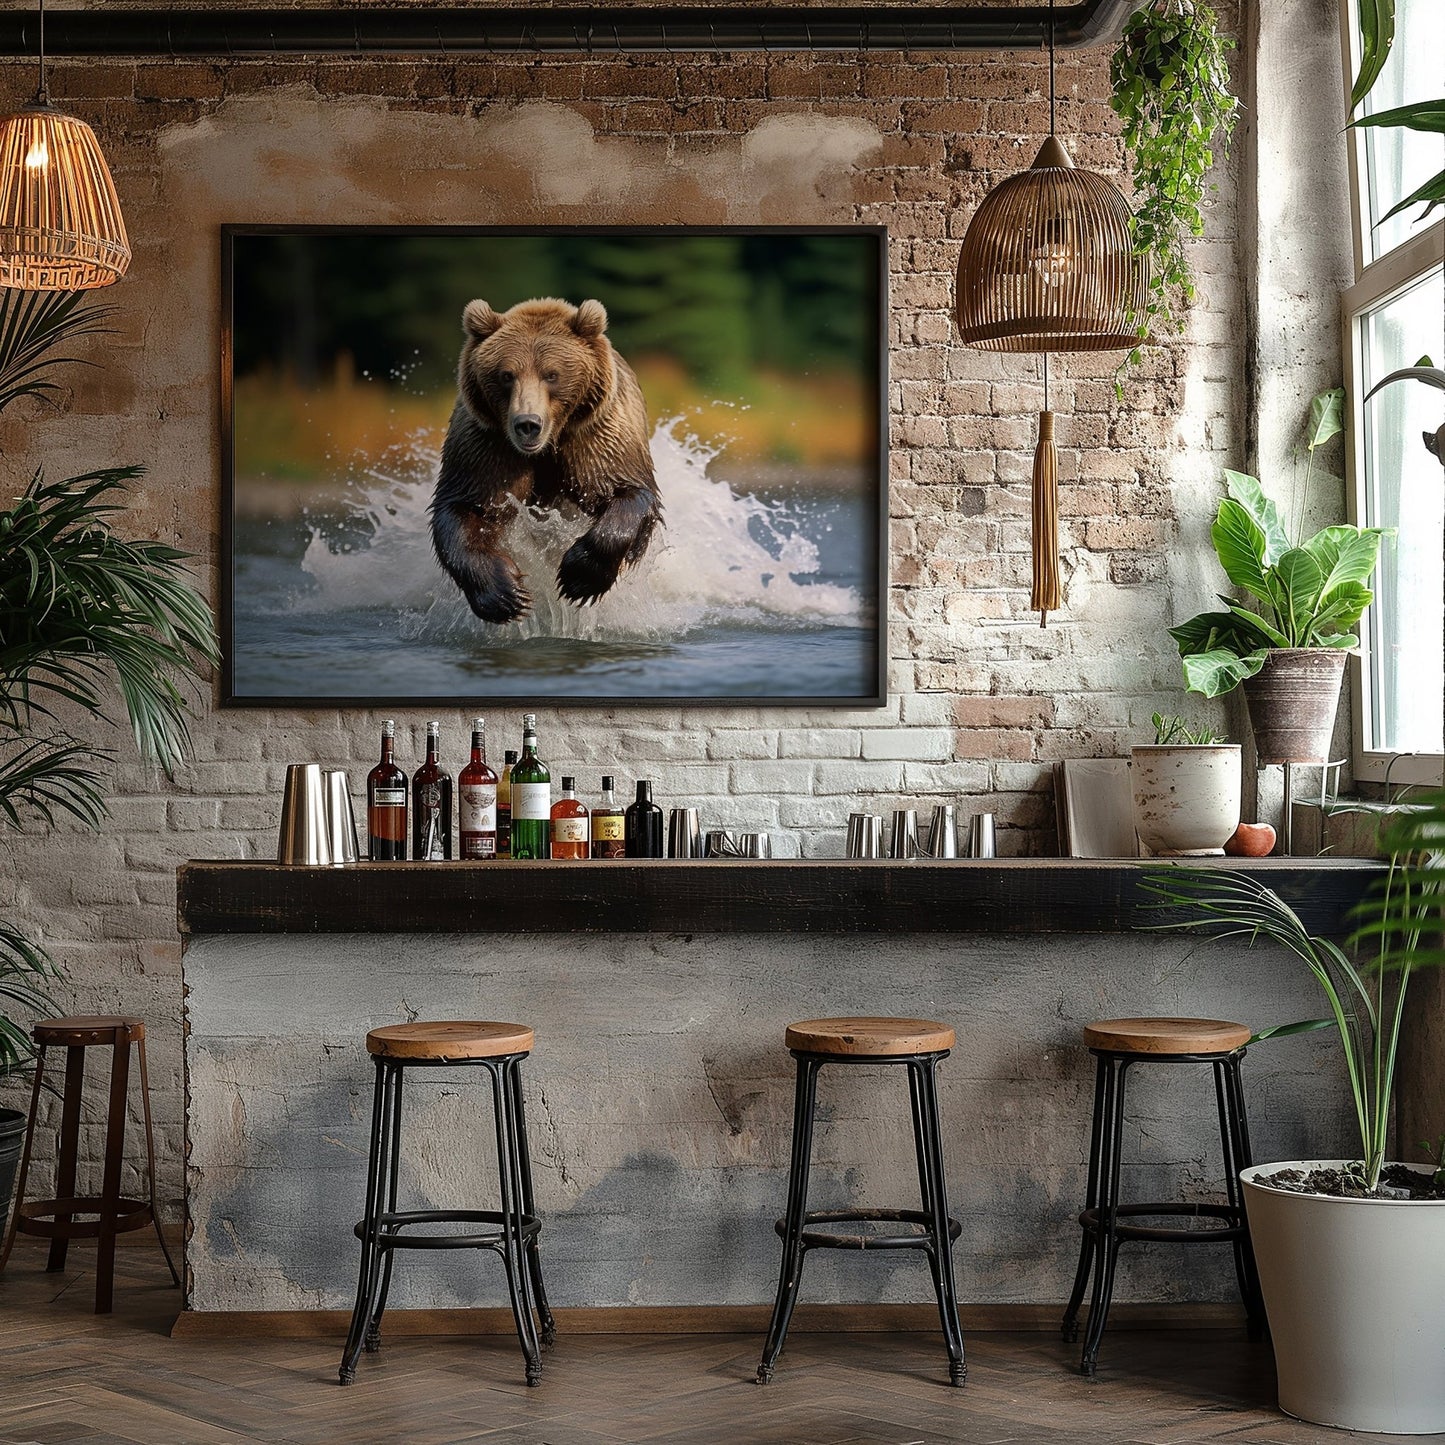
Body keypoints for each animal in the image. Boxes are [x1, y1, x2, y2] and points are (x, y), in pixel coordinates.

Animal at [430, 296, 663, 624]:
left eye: (551, 374)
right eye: (506, 375)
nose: (528, 424)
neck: (548, 446)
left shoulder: (597, 435)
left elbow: (626, 492)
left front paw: (579, 578)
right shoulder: (487, 444)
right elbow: (464, 507)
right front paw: (506, 595)